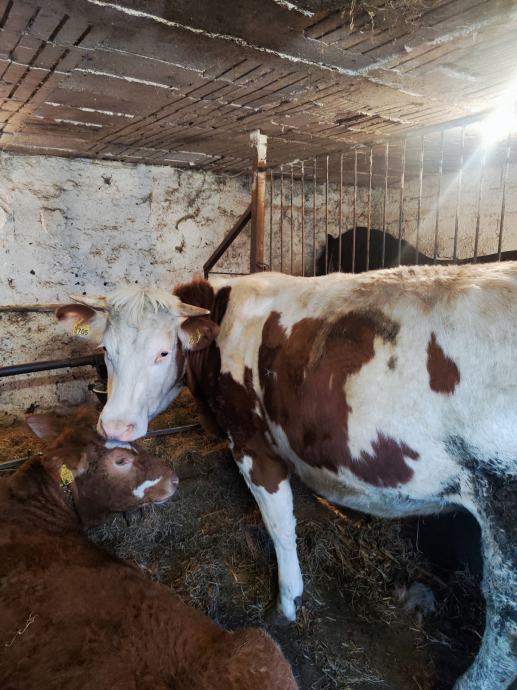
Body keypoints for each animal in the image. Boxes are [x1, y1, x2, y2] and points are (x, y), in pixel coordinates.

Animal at [56, 263, 517, 690]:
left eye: (163, 353)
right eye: (106, 350)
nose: (116, 427)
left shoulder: (252, 443)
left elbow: (279, 524)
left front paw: (288, 602)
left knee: (506, 627)